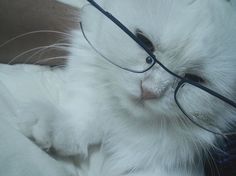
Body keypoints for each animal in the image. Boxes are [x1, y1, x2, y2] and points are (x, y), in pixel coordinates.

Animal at [0, 0, 236, 176]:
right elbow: (80, 121)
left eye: (193, 80)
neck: (124, 121)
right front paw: (50, 127)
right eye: (144, 42)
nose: (148, 91)